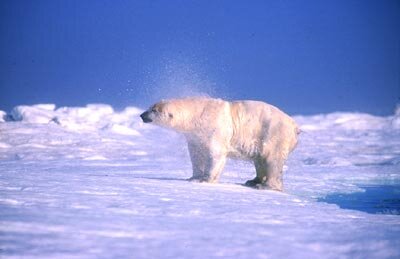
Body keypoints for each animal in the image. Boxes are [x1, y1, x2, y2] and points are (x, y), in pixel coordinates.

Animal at [139, 97, 298, 191]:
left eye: (154, 110)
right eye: (150, 107)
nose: (142, 115)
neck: (197, 115)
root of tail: (295, 127)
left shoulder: (215, 129)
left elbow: (215, 154)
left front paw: (206, 180)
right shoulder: (195, 136)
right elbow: (196, 155)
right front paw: (193, 177)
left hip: (273, 134)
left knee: (272, 160)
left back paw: (264, 186)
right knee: (259, 161)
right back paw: (252, 181)